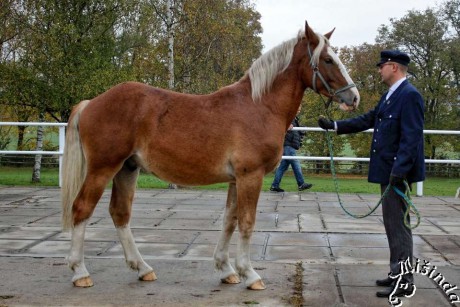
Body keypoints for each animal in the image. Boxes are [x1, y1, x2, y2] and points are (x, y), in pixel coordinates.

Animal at [60, 21, 360, 292]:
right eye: (327, 59)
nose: (354, 97)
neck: (259, 105)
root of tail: (91, 103)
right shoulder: (250, 176)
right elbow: (247, 222)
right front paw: (250, 274)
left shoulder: (235, 180)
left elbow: (230, 220)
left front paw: (226, 270)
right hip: (102, 169)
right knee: (82, 209)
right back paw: (80, 272)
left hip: (127, 169)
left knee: (120, 213)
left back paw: (142, 268)